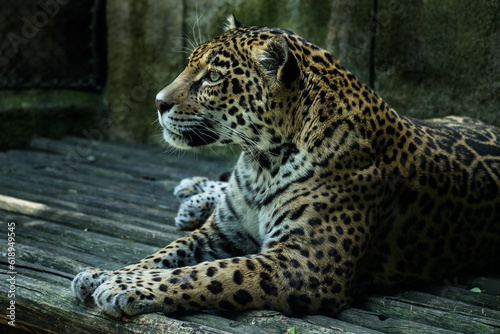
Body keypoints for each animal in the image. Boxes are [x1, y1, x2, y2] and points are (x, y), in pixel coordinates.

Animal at [71, 15, 500, 318]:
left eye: (213, 77)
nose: (158, 103)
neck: (261, 162)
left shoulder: (303, 265)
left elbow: (209, 273)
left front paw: (123, 286)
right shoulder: (220, 233)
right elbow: (164, 255)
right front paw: (103, 274)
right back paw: (193, 193)